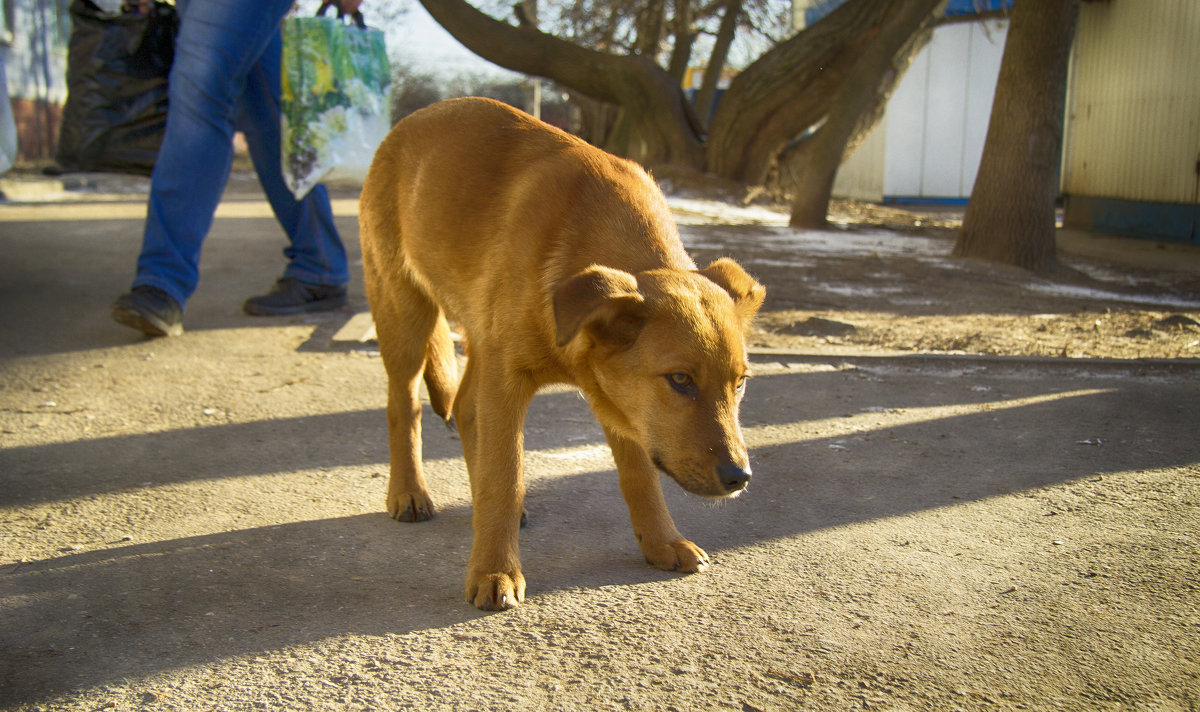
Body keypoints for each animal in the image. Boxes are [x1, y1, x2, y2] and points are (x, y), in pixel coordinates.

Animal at [360, 97, 763, 607]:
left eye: (741, 383)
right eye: (680, 380)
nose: (739, 478)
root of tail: (409, 122)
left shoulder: (618, 401)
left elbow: (640, 476)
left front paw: (662, 542)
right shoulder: (509, 379)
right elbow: (505, 478)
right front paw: (494, 571)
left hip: (478, 337)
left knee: (466, 407)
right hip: (404, 314)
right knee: (404, 405)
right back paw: (408, 492)